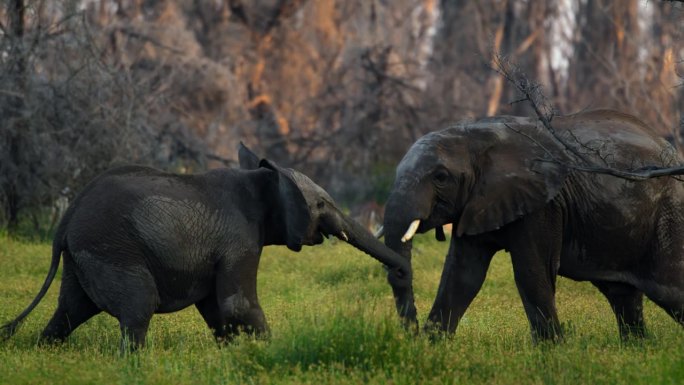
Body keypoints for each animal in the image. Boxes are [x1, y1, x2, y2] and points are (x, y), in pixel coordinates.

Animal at [1, 144, 412, 348]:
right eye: (323, 205)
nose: (401, 271)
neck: (263, 178)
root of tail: (66, 219)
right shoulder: (240, 241)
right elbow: (238, 304)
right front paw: (269, 350)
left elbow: (217, 308)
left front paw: (235, 352)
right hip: (112, 248)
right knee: (138, 306)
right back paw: (135, 363)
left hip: (85, 254)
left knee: (71, 309)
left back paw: (46, 350)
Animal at [382, 109, 680, 340]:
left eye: (441, 177)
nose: (409, 335)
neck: (474, 135)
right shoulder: (476, 203)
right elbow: (463, 275)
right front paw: (432, 347)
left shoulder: (544, 204)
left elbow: (531, 272)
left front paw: (551, 351)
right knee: (623, 294)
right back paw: (636, 348)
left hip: (670, 214)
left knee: (671, 289)